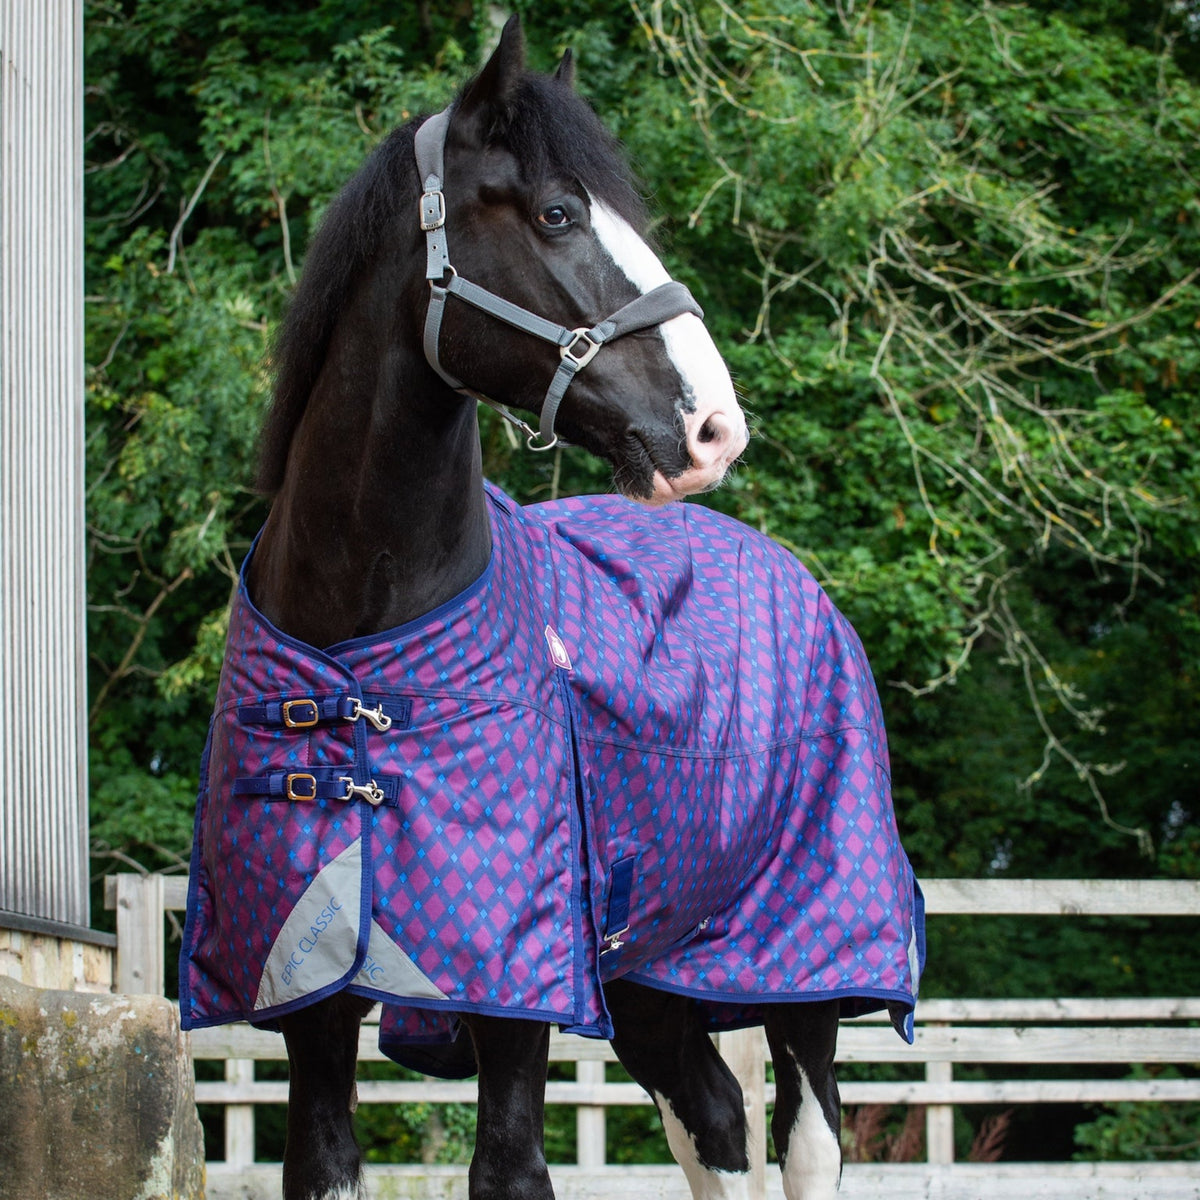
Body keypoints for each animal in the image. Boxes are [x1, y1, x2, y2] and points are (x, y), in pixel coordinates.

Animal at [179, 17, 923, 1200]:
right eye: (558, 214)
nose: (714, 428)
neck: (361, 632)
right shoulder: (308, 995)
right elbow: (325, 1160)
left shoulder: (518, 991)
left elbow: (512, 1169)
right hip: (655, 985)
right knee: (713, 1125)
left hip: (799, 970)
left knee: (804, 1141)